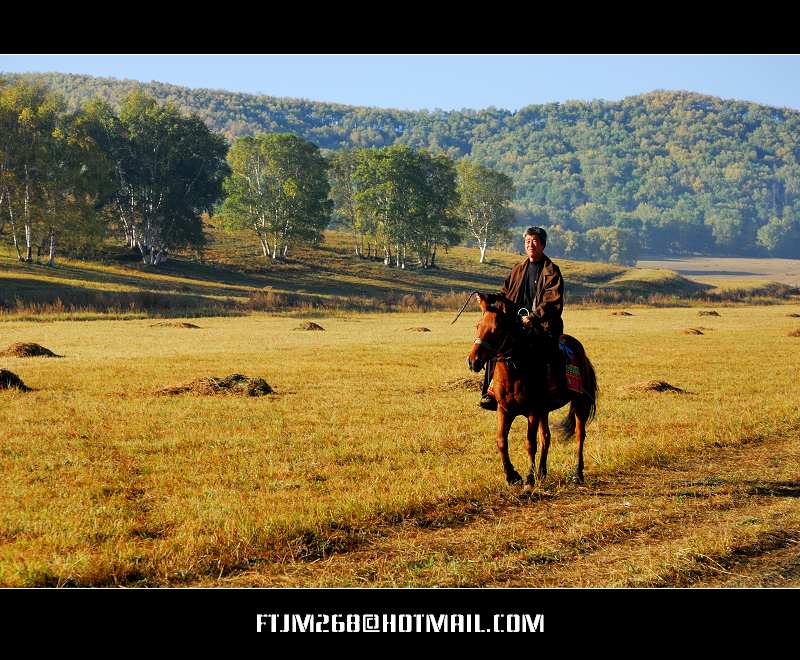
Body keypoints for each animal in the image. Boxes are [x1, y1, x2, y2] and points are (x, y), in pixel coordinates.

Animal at [466, 294, 596, 484]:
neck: (515, 370)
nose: (473, 361)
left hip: (580, 402)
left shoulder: (532, 411)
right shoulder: (504, 409)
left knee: (580, 435)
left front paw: (529, 477)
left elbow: (530, 443)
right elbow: (501, 441)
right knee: (546, 437)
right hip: (545, 410)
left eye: (497, 329)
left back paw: (577, 474)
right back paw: (542, 472)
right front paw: (512, 476)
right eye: (477, 326)